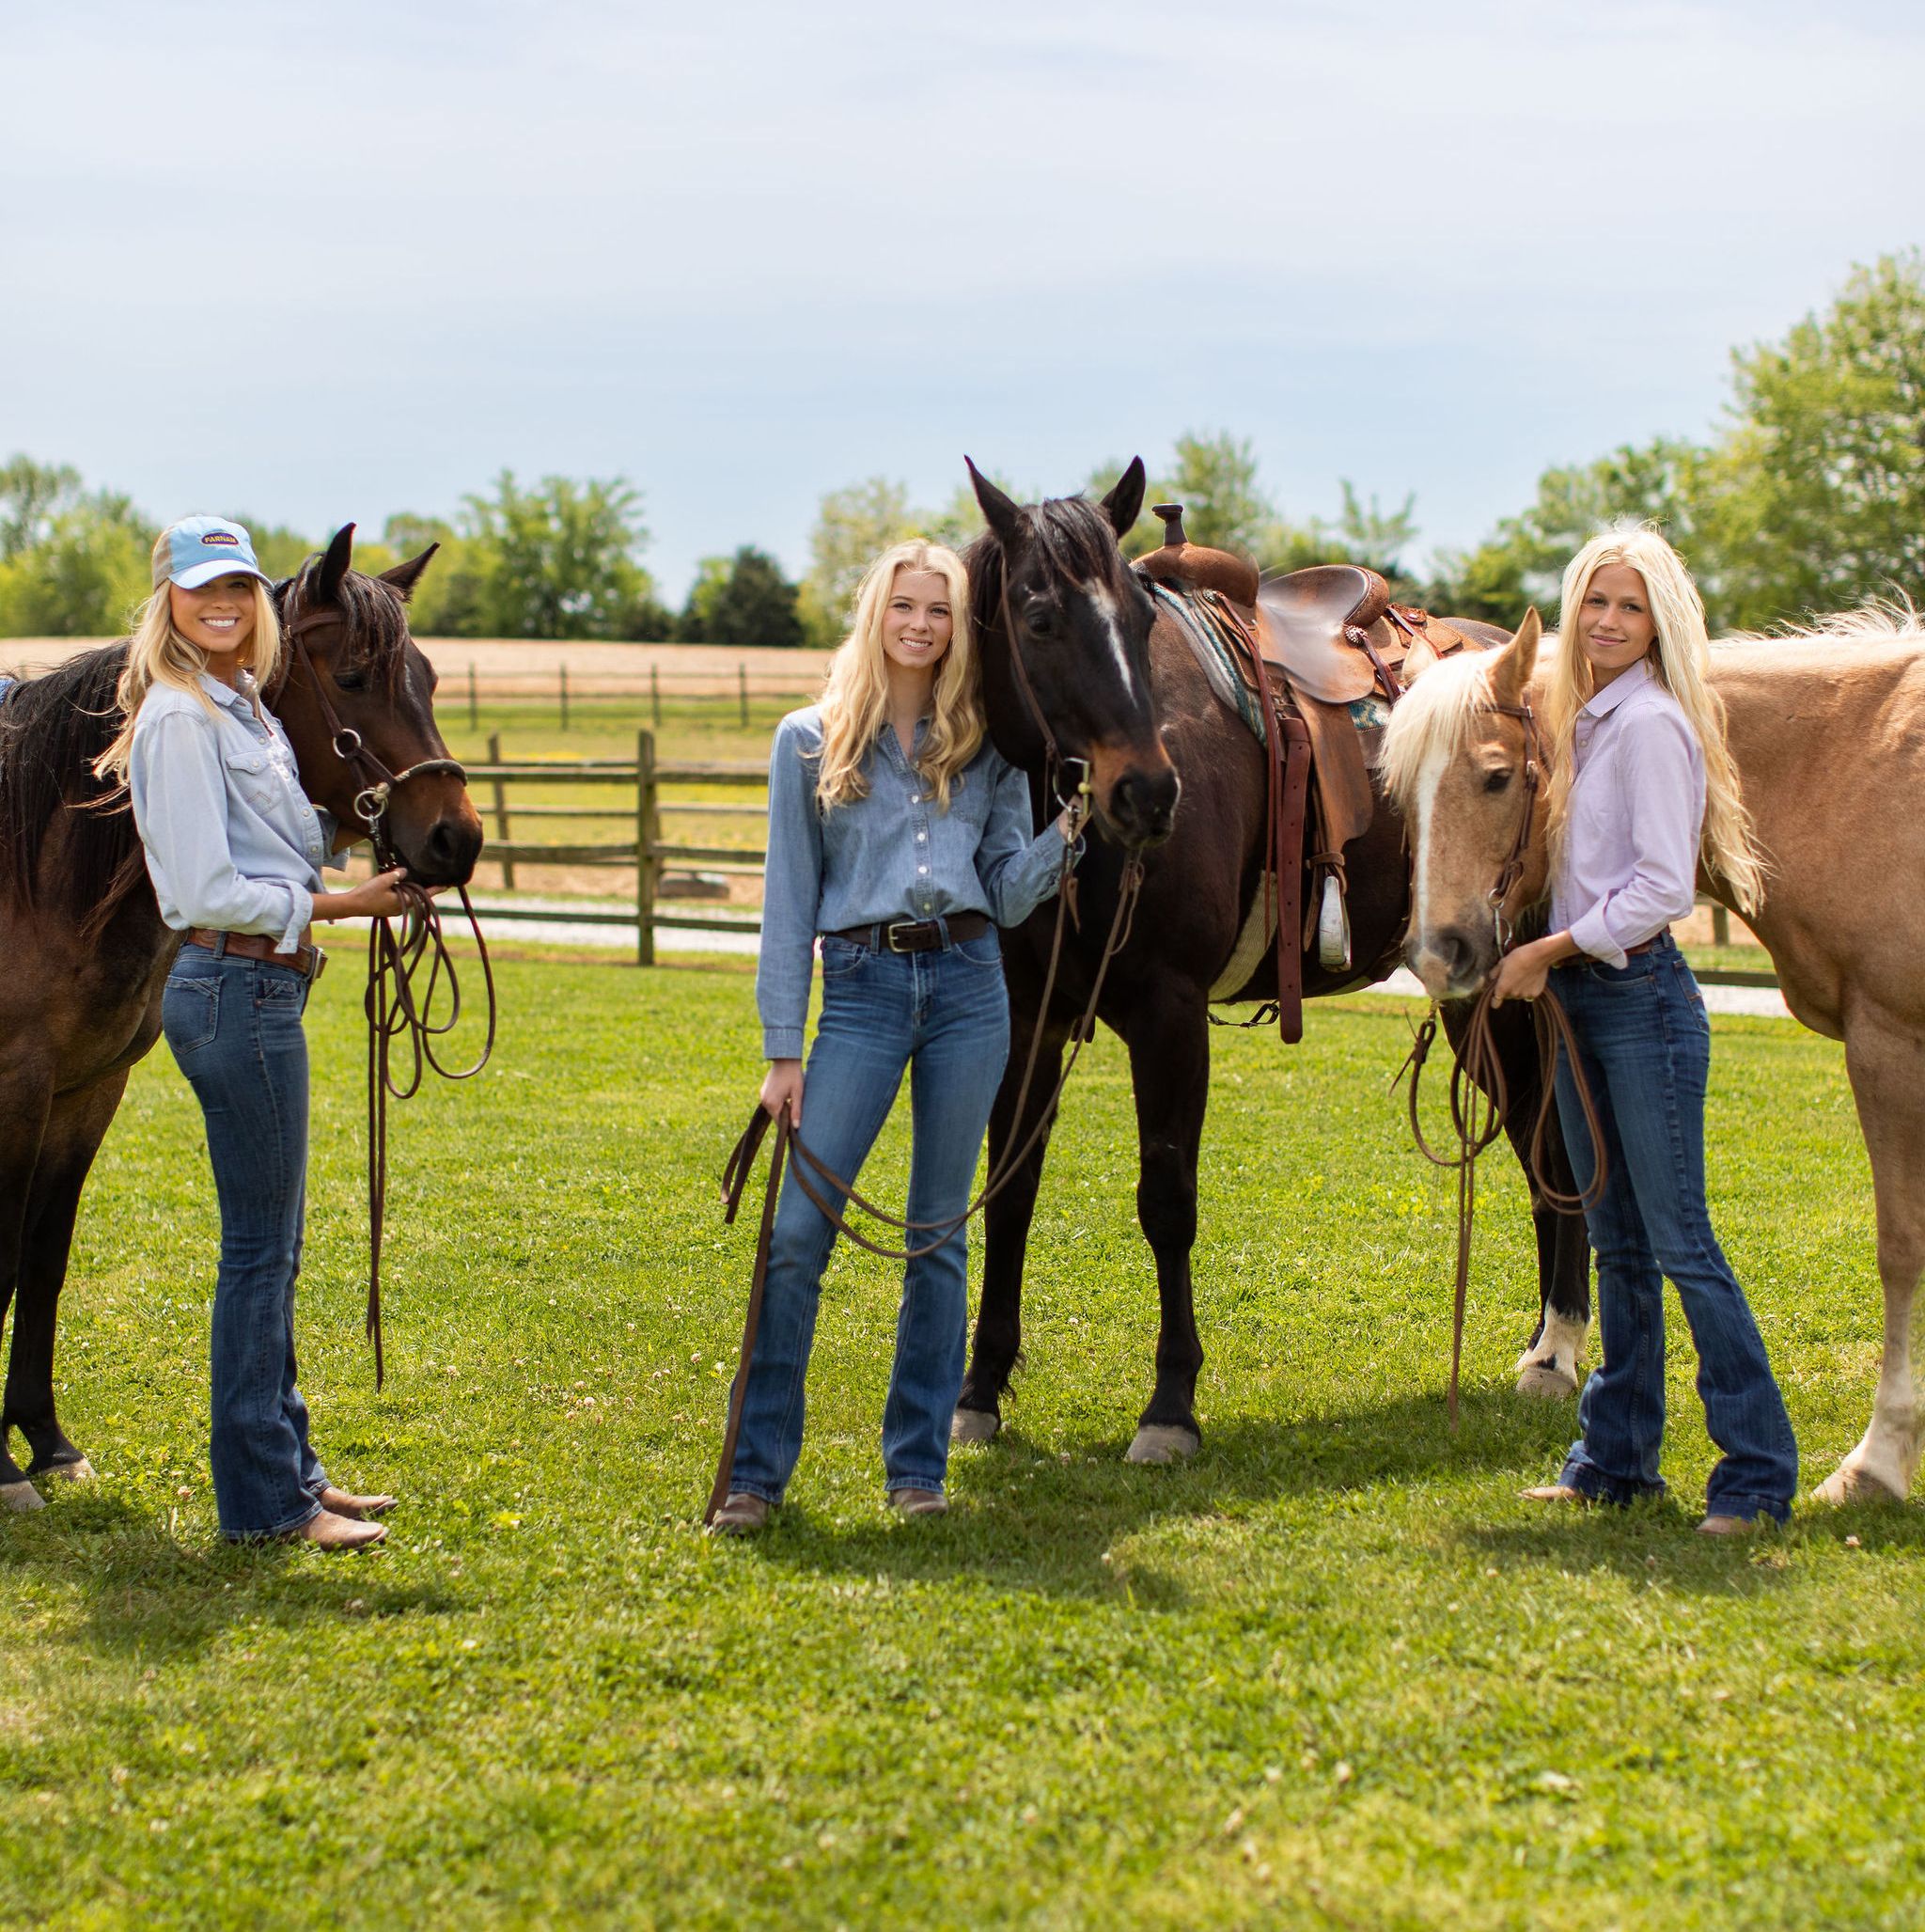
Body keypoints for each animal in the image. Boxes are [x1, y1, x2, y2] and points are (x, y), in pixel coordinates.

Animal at [0, 525, 478, 1506]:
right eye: (353, 677)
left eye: (429, 677)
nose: (458, 836)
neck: (40, 871)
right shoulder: (17, 1088)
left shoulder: (86, 1090)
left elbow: (43, 1250)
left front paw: (48, 1441)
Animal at [946, 463, 1575, 1460]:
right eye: (1038, 618)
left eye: (1139, 618)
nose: (1148, 792)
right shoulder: (1027, 1014)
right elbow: (1010, 1189)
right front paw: (978, 1392)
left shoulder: (1168, 1013)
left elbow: (1167, 1201)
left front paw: (1170, 1407)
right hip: (1475, 992)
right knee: (1534, 1140)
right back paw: (1544, 1347)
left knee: (1553, 1144)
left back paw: (1559, 1353)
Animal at [1389, 610, 1922, 1499]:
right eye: (1397, 793)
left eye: (1496, 778)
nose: (1439, 953)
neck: (1850, 770)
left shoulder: (1889, 1044)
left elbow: (1900, 1245)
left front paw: (1875, 1464)